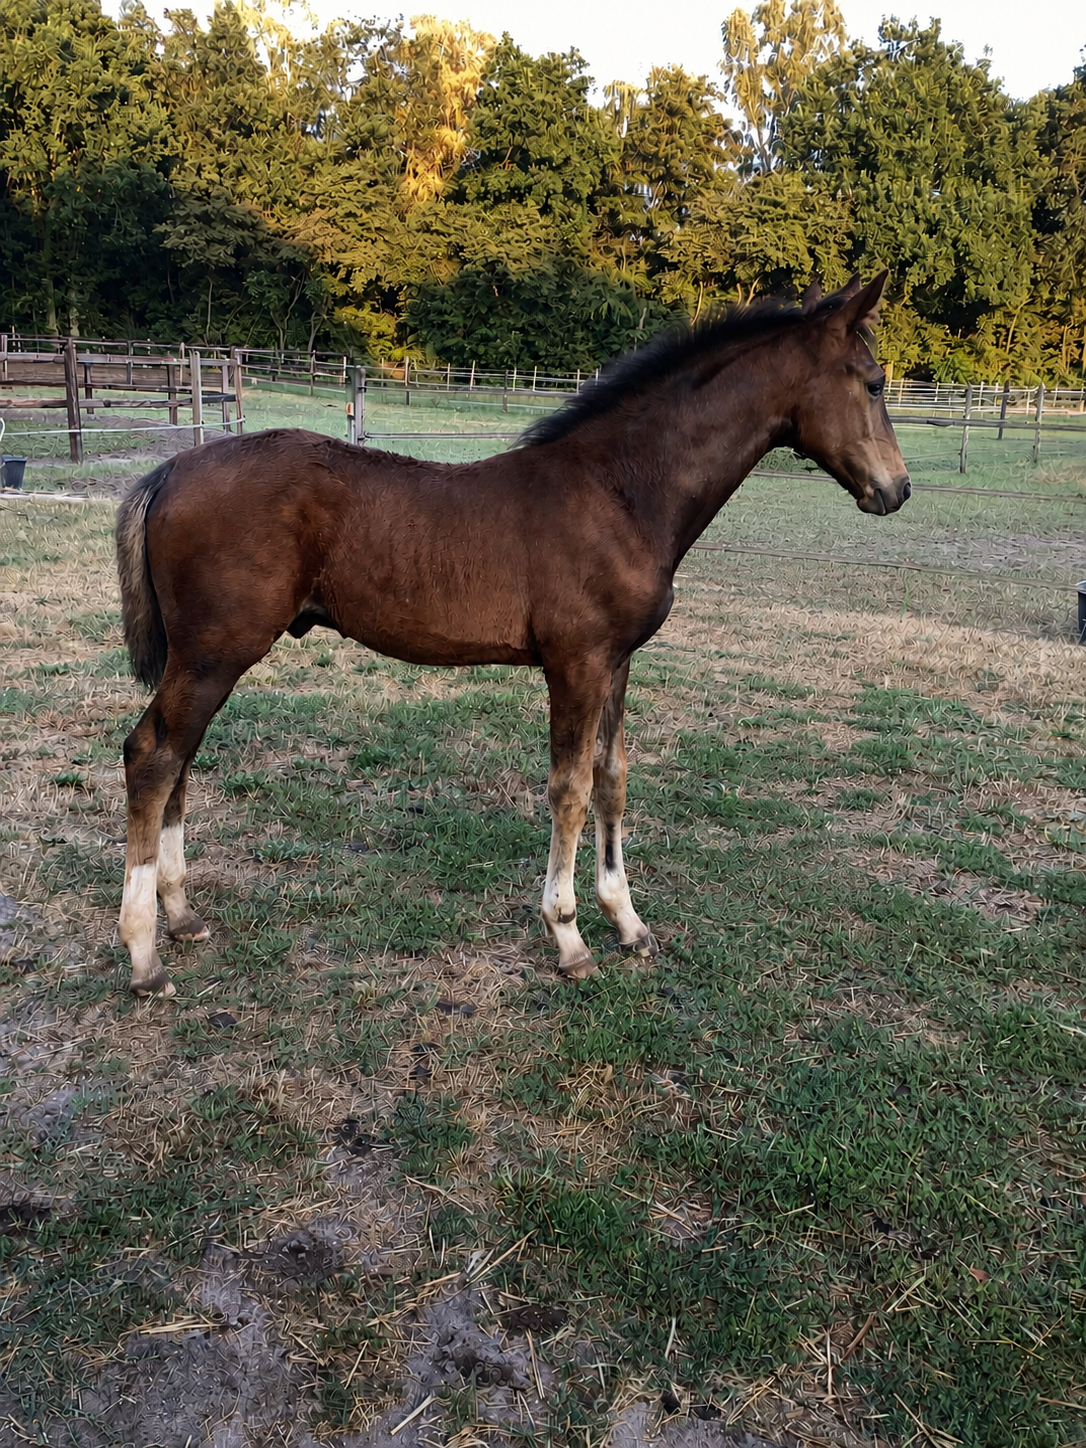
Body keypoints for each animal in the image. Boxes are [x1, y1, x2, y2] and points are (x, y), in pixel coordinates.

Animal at [114, 272, 909, 997]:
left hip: (206, 658)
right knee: (154, 756)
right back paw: (145, 954)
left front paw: (628, 923)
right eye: (873, 384)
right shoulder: (576, 663)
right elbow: (570, 787)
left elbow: (613, 779)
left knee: (181, 757)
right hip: (215, 653)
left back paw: (180, 917)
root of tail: (171, 468)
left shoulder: (618, 662)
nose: (896, 490)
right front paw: (569, 937)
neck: (619, 492)